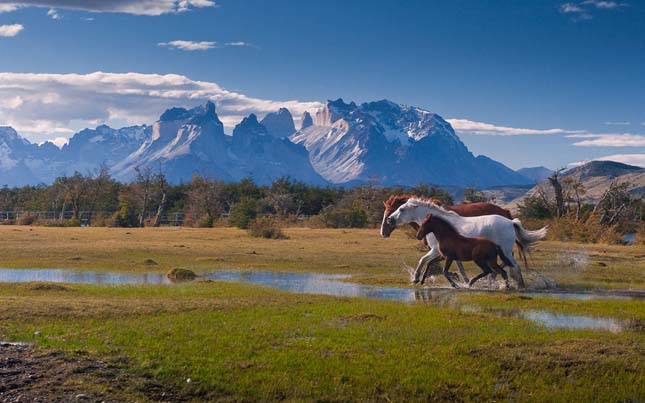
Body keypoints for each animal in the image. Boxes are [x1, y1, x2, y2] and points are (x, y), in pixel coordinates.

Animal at [384, 198, 544, 288]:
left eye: (401, 209)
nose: (389, 220)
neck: (442, 227)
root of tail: (511, 222)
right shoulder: (445, 254)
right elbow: (457, 267)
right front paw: (463, 281)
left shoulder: (436, 250)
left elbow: (422, 260)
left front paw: (416, 278)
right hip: (503, 251)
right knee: (506, 266)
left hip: (504, 250)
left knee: (514, 266)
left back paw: (516, 285)